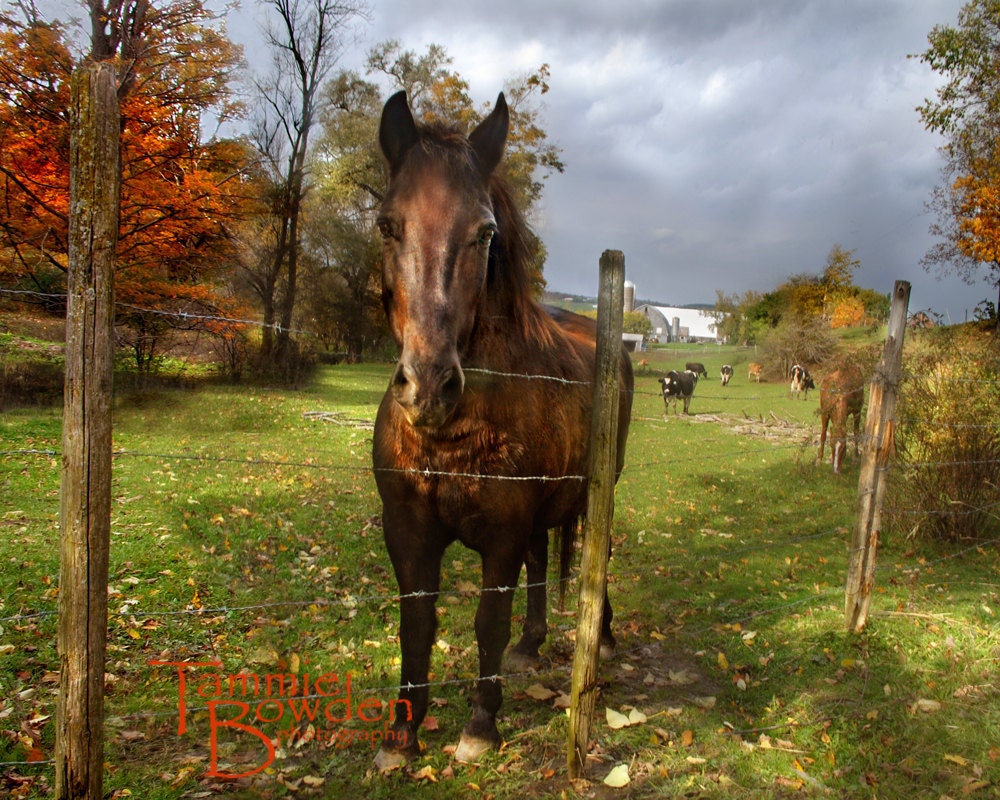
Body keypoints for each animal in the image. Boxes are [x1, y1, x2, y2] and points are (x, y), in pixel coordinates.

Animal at [371, 91, 633, 770]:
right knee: (543, 562)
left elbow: (488, 620)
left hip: (598, 491)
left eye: (485, 232)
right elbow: (417, 625)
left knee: (600, 553)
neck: (449, 440)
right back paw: (532, 644)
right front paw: (402, 734)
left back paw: (603, 635)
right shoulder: (407, 532)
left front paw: (480, 725)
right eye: (387, 224)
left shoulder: (502, 535)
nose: (429, 384)